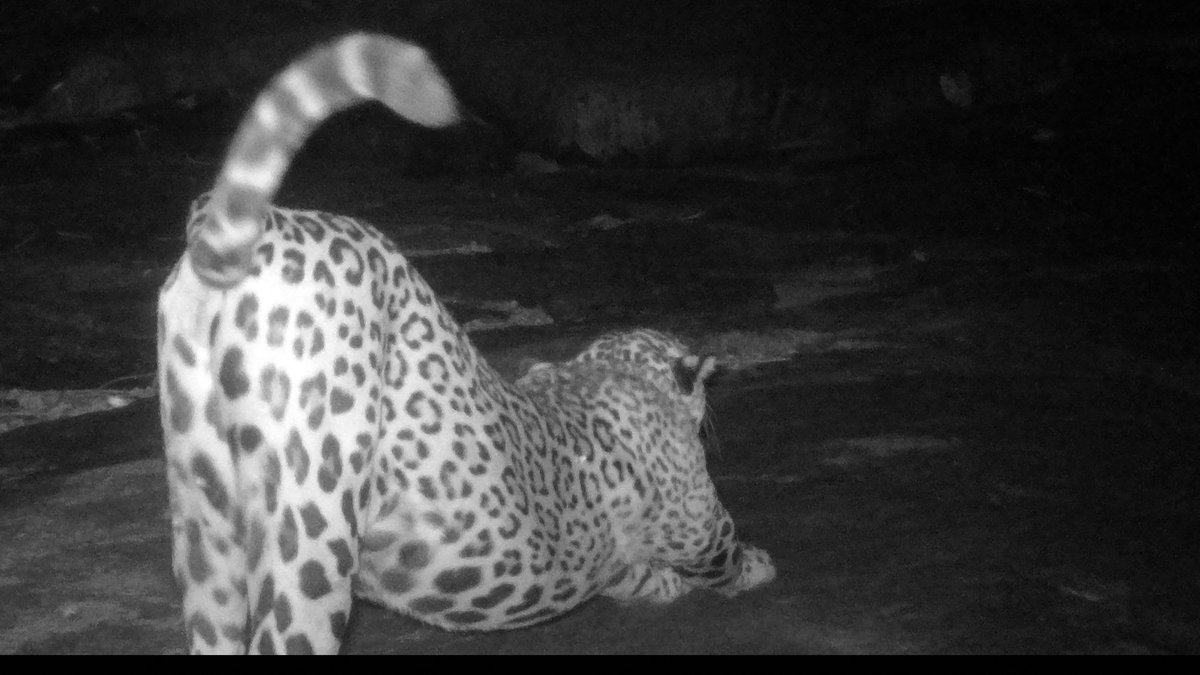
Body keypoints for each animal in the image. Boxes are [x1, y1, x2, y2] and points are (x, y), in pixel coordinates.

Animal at [156, 32, 775, 655]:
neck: (612, 374)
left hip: (205, 519)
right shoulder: (696, 517)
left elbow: (628, 570)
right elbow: (723, 550)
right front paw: (755, 568)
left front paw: (660, 581)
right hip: (310, 521)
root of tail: (266, 228)